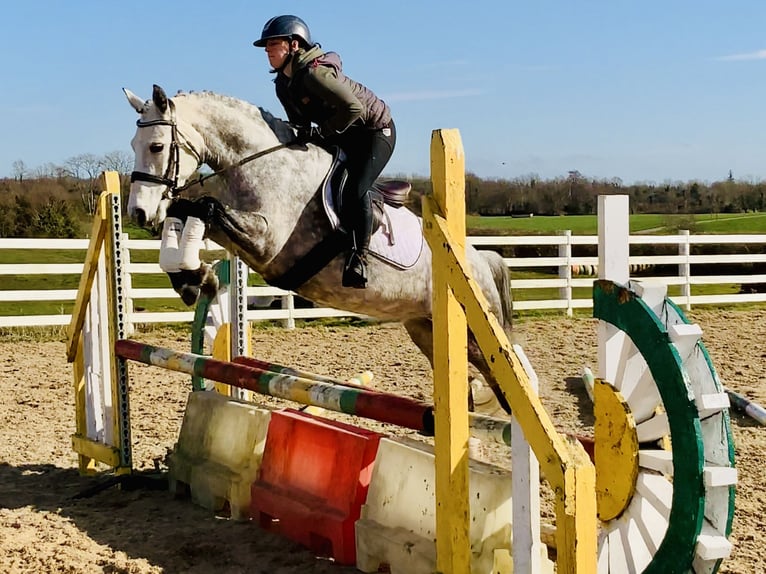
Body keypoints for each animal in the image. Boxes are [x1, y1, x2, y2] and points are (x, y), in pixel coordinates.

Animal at [123, 84, 516, 414]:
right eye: (133, 145)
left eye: (156, 146)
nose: (138, 213)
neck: (260, 163)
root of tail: (479, 259)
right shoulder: (240, 236)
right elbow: (185, 209)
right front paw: (192, 278)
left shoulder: (269, 244)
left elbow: (204, 206)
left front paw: (196, 276)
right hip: (425, 330)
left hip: (476, 334)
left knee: (505, 381)